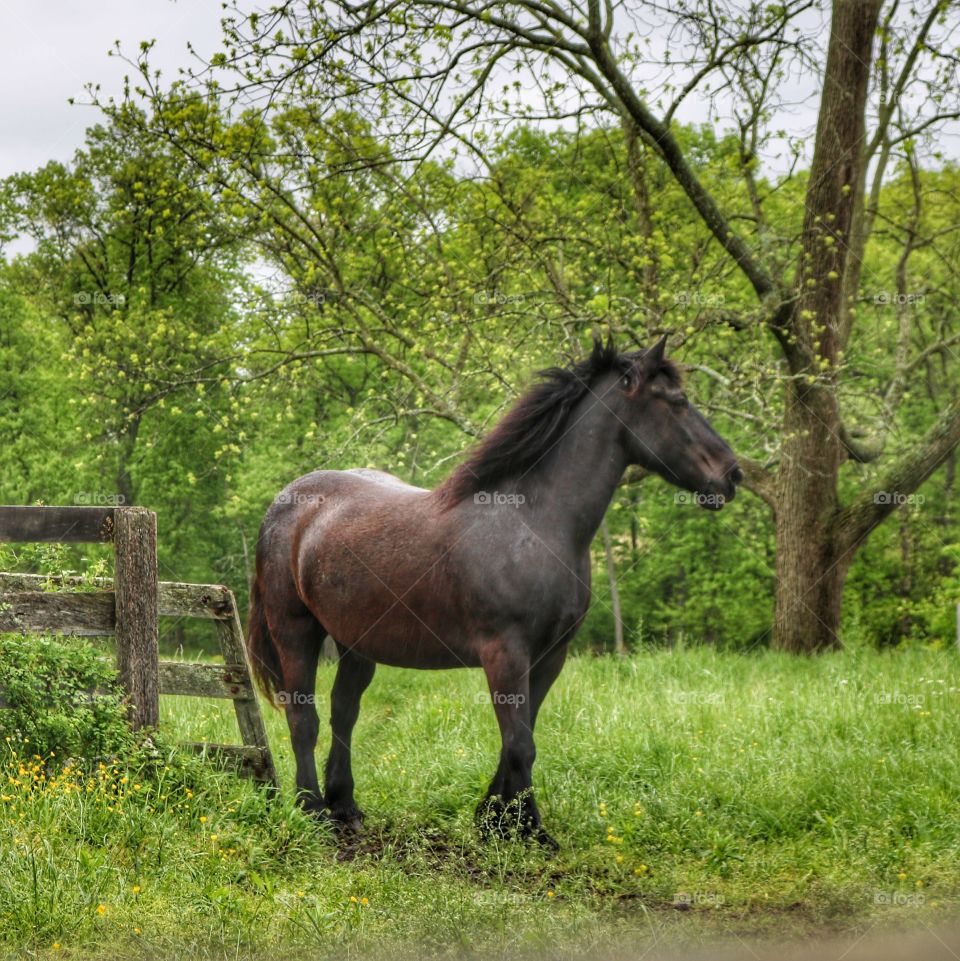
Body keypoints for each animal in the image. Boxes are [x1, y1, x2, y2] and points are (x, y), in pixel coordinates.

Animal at [246, 337, 742, 847]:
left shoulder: (550, 655)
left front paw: (496, 818)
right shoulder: (505, 653)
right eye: (678, 402)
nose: (732, 475)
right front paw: (531, 830)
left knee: (344, 712)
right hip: (295, 631)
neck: (532, 522)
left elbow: (520, 738)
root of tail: (285, 504)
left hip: (356, 643)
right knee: (303, 718)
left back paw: (344, 805)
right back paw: (312, 809)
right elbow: (521, 743)